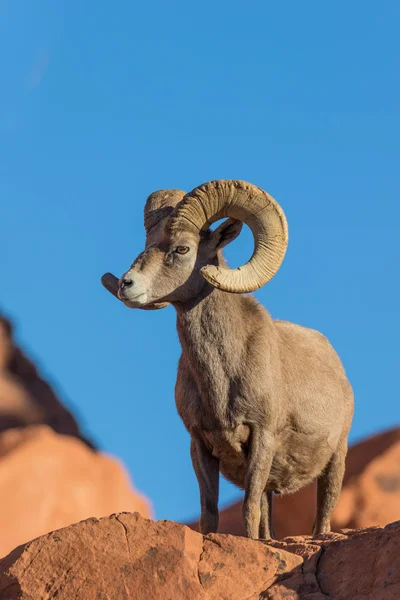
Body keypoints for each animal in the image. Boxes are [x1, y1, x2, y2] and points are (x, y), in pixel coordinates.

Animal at [101, 178, 354, 540]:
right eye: (147, 244)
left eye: (182, 249)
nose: (126, 285)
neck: (222, 379)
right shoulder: (201, 445)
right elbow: (211, 514)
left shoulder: (262, 438)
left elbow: (248, 511)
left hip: (335, 460)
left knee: (323, 514)